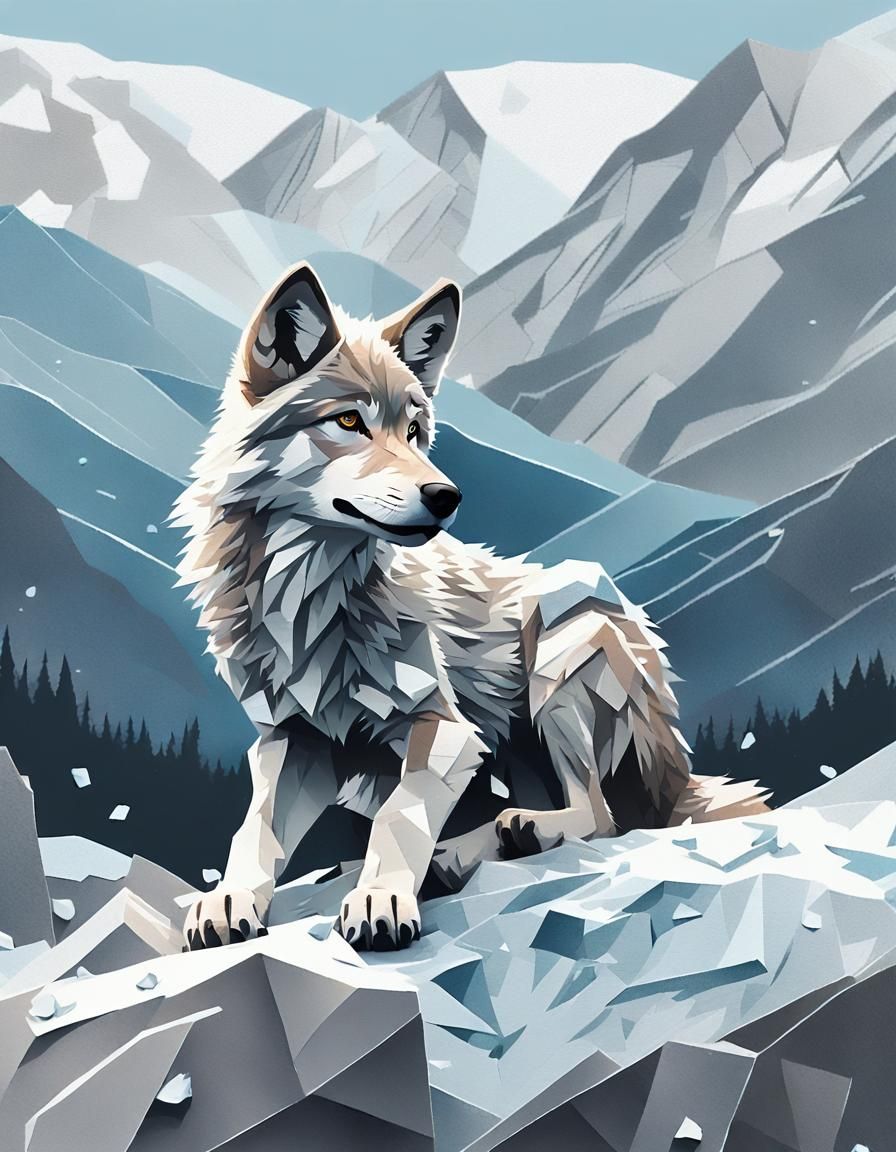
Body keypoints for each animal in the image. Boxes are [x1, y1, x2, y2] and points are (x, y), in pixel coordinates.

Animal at [175, 263, 769, 951]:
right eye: (348, 423)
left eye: (414, 433)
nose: (446, 495)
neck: (309, 593)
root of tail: (676, 775)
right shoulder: (293, 737)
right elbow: (256, 830)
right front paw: (228, 900)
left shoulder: (447, 729)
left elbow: (399, 816)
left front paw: (381, 899)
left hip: (564, 642)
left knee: (604, 815)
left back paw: (479, 847)